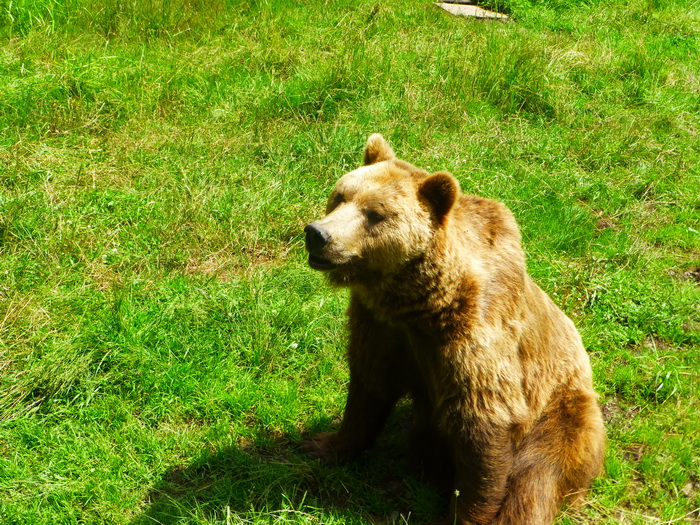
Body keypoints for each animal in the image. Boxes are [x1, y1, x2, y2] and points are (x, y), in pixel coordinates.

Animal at [304, 135, 604, 524]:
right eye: (340, 196)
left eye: (375, 214)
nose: (318, 234)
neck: (420, 305)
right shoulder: (379, 325)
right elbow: (369, 383)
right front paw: (324, 444)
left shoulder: (477, 333)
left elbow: (485, 423)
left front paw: (467, 512)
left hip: (561, 418)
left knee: (535, 480)